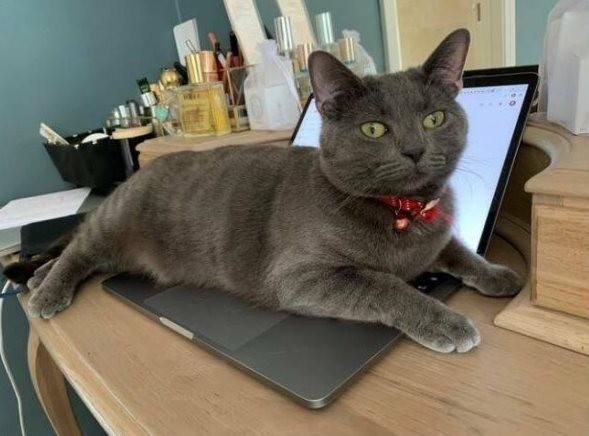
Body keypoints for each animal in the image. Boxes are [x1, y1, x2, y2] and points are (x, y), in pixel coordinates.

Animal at [5, 29, 521, 353]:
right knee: (80, 249)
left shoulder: (440, 232)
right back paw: (47, 291)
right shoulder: (300, 277)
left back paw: (38, 277)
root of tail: (137, 173)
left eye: (434, 119)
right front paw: (445, 322)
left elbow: (460, 251)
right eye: (374, 129)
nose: (415, 150)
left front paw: (500, 276)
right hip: (116, 223)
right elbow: (385, 285)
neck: (405, 213)